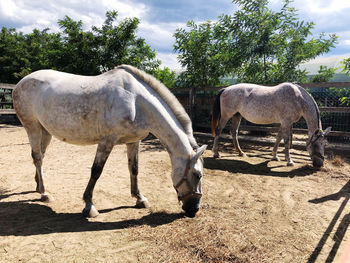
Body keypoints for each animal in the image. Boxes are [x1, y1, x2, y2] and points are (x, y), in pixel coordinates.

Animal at [12, 65, 206, 219]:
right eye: (198, 175)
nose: (194, 209)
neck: (136, 102)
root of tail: (19, 84)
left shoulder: (134, 142)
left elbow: (134, 169)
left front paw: (139, 198)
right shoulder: (107, 141)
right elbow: (96, 171)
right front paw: (89, 206)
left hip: (45, 131)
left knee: (40, 157)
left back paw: (38, 187)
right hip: (32, 127)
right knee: (37, 157)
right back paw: (44, 194)